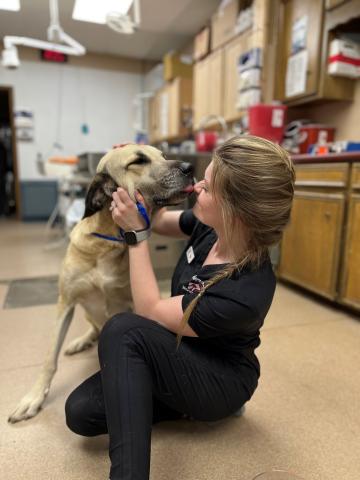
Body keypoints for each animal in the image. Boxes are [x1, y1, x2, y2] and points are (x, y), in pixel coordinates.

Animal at [9, 144, 194, 422]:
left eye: (163, 156)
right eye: (138, 161)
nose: (189, 167)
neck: (108, 241)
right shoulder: (65, 303)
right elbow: (49, 359)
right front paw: (33, 397)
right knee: (93, 328)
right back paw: (80, 341)